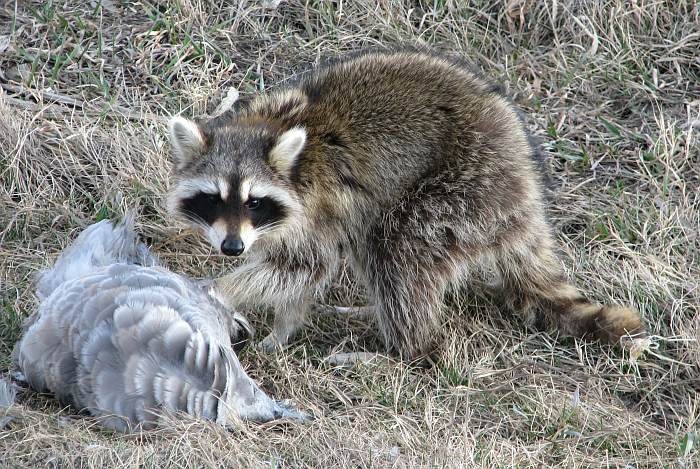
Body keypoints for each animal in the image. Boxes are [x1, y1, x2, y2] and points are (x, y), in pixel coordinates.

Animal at [165, 50, 644, 358]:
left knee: (398, 250)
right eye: (213, 199)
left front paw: (221, 289)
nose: (231, 249)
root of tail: (524, 184)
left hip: (463, 190)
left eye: (255, 202)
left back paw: (403, 349)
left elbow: (301, 267)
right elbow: (294, 276)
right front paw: (282, 328)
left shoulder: (316, 209)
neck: (269, 128)